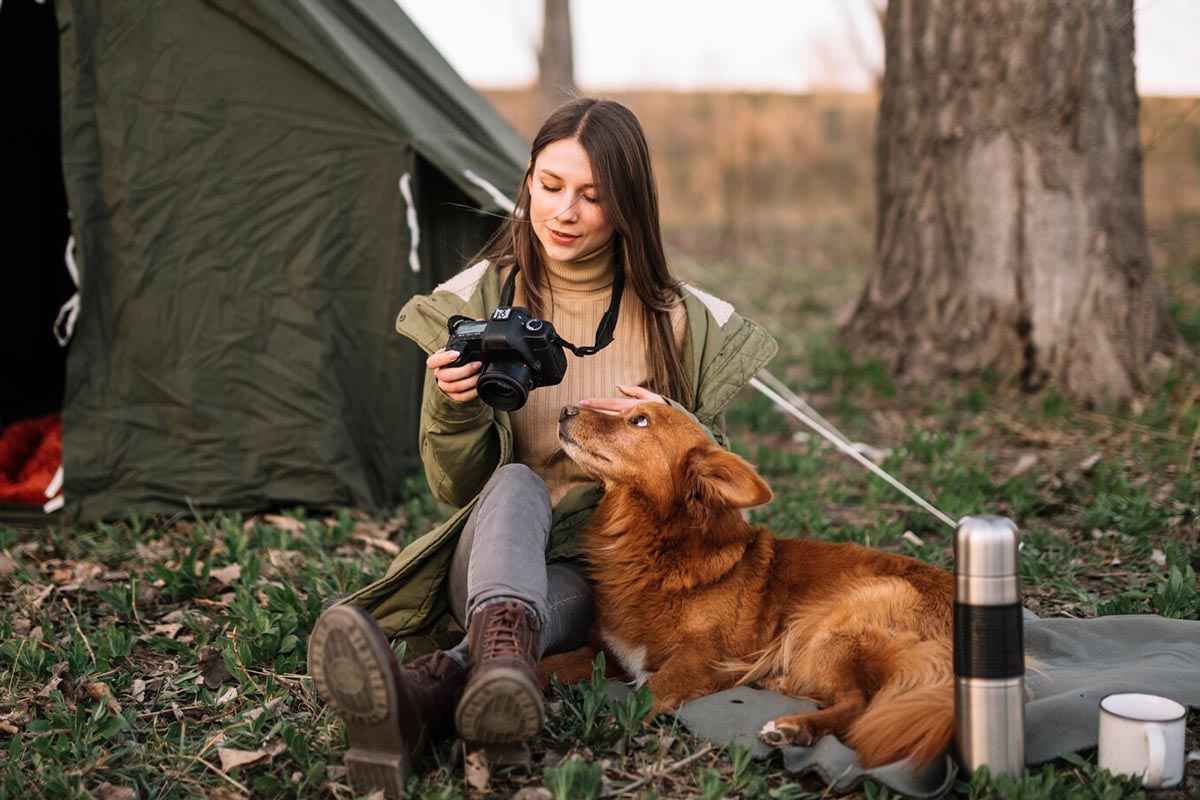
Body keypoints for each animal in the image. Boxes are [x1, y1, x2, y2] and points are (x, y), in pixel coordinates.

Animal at [544, 407, 955, 767]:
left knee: (860, 704)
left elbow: (651, 689)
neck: (651, 547)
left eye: (639, 420)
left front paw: (612, 724)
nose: (565, 409)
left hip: (835, 620)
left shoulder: (703, 657)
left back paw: (795, 727)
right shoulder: (608, 652)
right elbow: (549, 664)